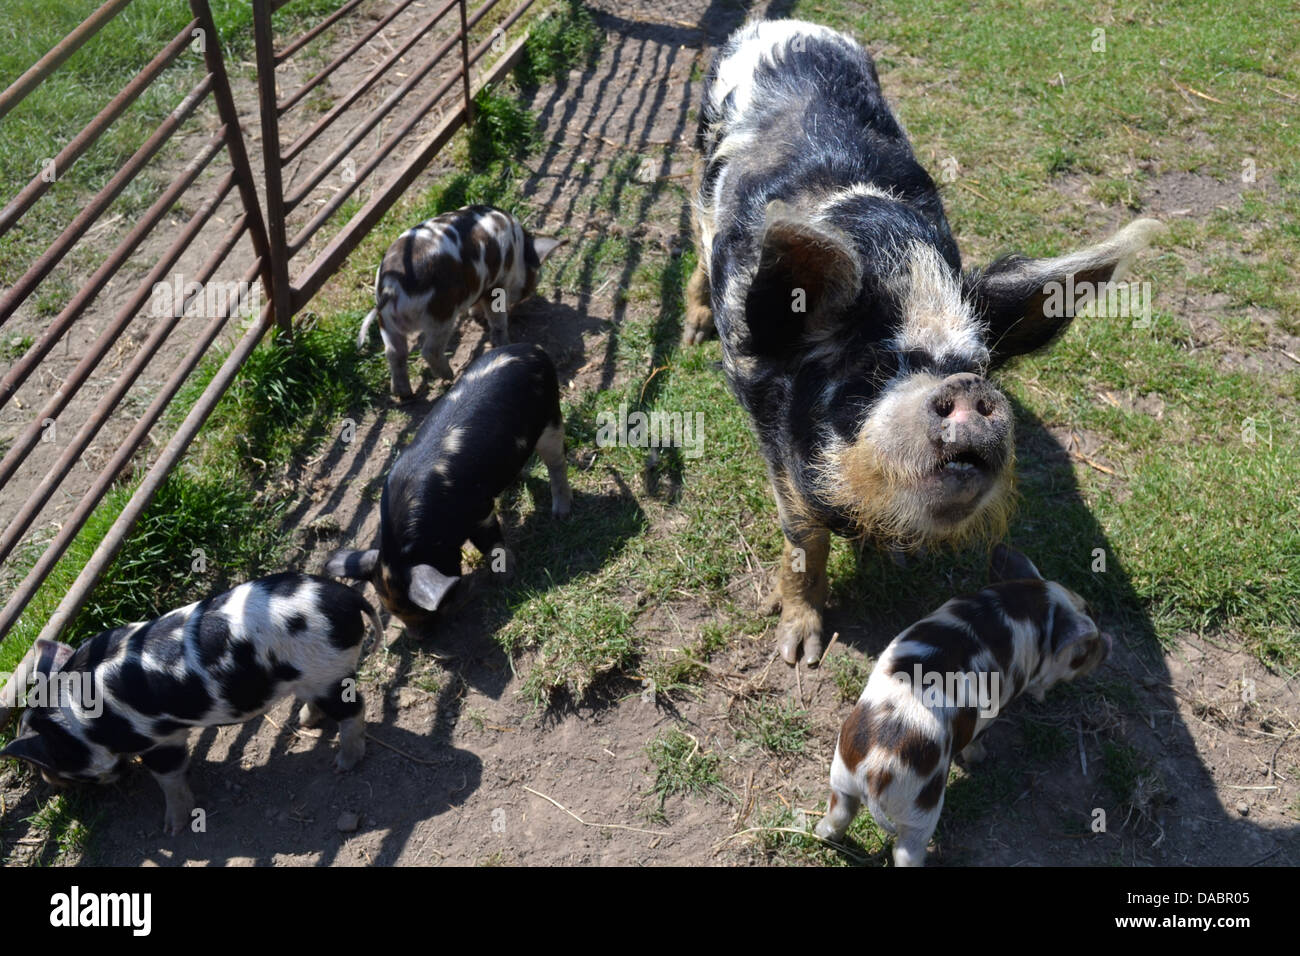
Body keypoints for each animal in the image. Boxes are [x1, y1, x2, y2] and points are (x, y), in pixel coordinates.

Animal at [0, 572, 382, 832]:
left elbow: (168, 777)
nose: (51, 784)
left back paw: (343, 764)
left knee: (355, 708)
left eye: (54, 759)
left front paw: (171, 828)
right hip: (311, 679)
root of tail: (345, 596)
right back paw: (304, 721)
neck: (82, 722)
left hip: (327, 673)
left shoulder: (158, 739)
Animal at [323, 340, 569, 632]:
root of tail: (531, 348)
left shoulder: (479, 510)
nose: (419, 637)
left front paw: (504, 578)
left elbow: (490, 543)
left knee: (557, 463)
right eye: (391, 609)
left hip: (550, 417)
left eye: (421, 607)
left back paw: (561, 514)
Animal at [361, 201, 564, 395]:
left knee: (394, 352)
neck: (518, 250)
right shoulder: (496, 284)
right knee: (429, 350)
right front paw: (505, 343)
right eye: (535, 275)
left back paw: (403, 394)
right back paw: (449, 376)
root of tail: (392, 286)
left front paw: (478, 316)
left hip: (387, 321)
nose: (532, 293)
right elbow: (497, 320)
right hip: (440, 314)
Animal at [811, 546, 1107, 868]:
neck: (1028, 609)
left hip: (842, 774)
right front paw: (982, 759)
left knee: (839, 811)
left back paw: (820, 834)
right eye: (1086, 648)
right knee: (905, 849)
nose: (1108, 646)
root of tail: (877, 771)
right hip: (920, 805)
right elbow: (978, 738)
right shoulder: (994, 707)